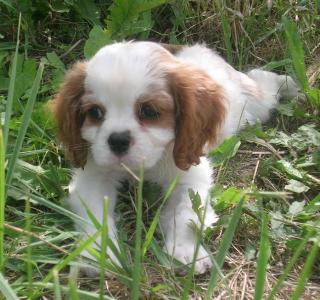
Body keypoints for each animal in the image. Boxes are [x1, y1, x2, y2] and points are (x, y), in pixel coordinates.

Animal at [53, 41, 298, 274]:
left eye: (149, 111)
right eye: (95, 112)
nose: (118, 140)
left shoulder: (190, 175)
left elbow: (186, 213)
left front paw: (186, 251)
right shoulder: (93, 176)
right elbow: (95, 216)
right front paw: (96, 254)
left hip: (256, 105)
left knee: (263, 81)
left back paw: (288, 83)